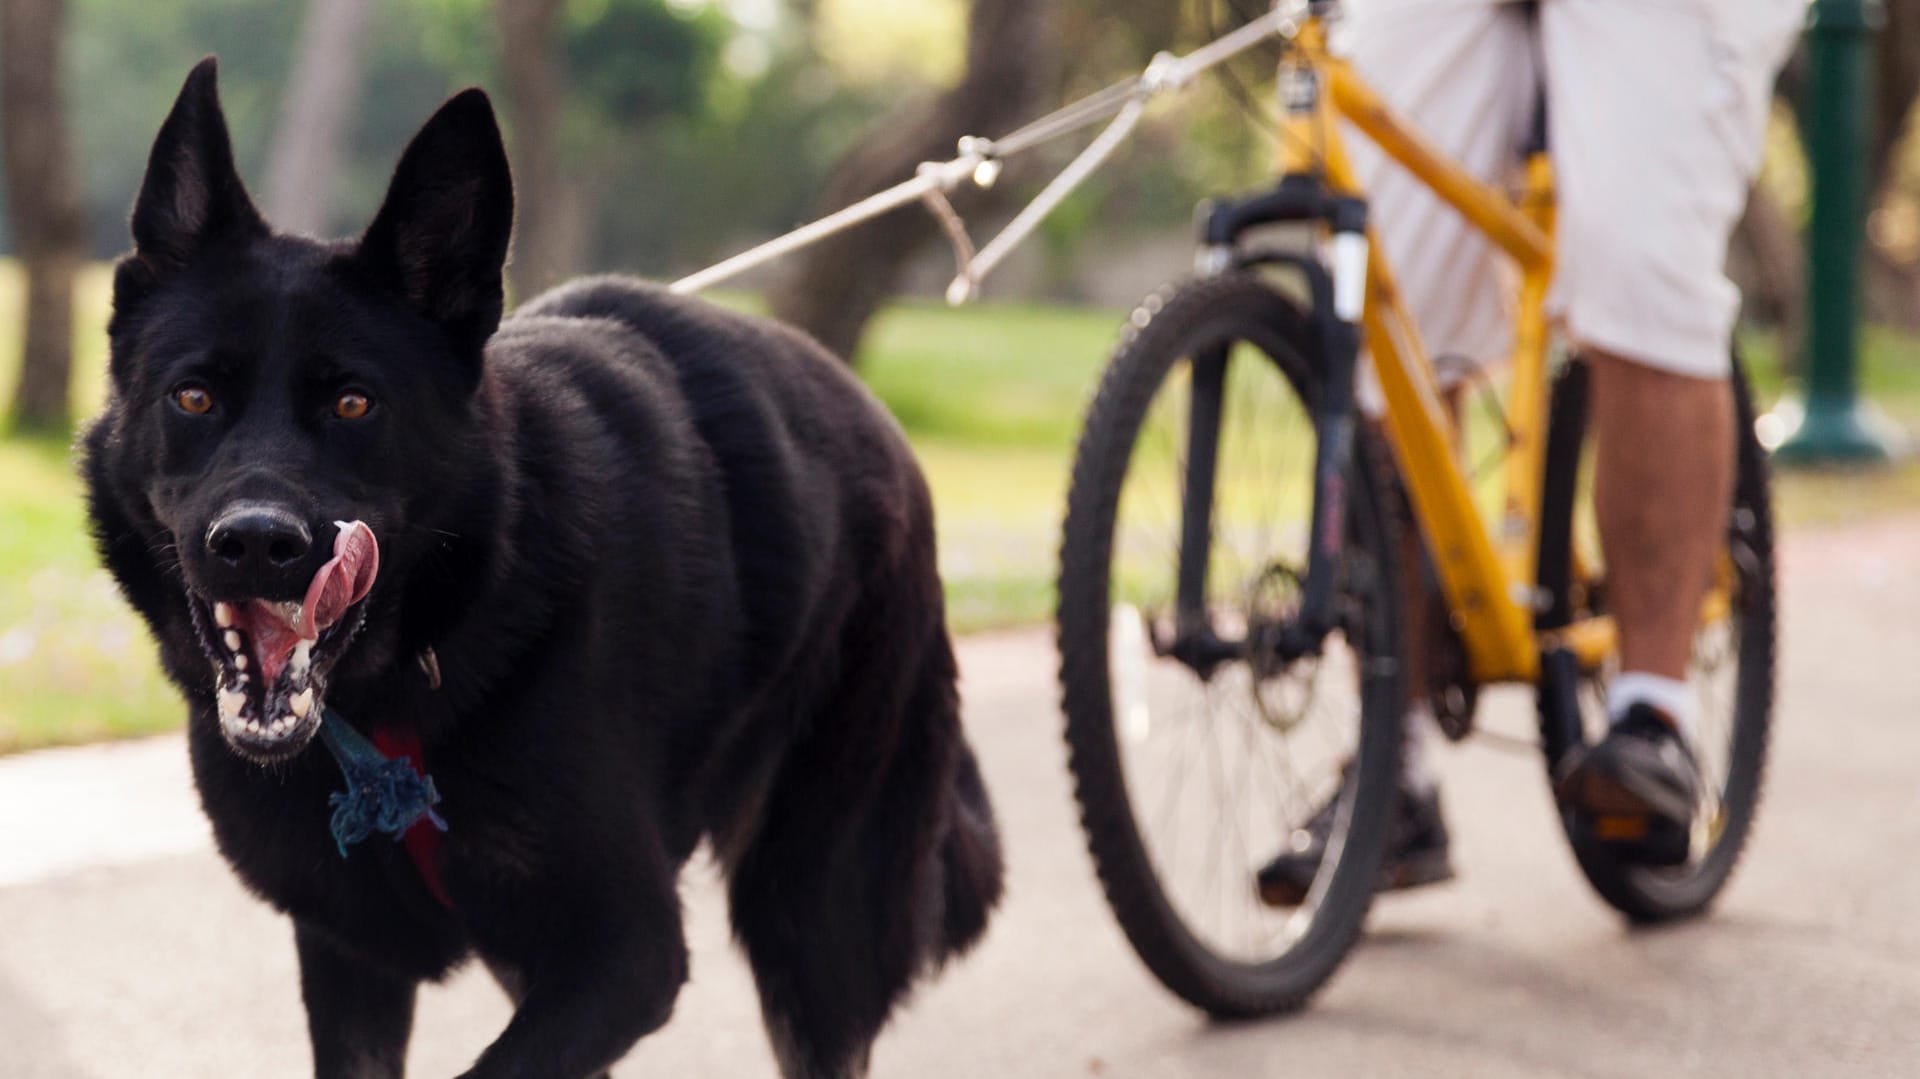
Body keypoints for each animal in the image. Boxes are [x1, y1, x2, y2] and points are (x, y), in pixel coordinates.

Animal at [82, 60, 998, 1075]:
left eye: (356, 403)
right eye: (193, 397)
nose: (254, 542)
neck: (401, 699)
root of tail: (873, 416)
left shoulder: (623, 955)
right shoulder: (353, 960)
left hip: (813, 921)